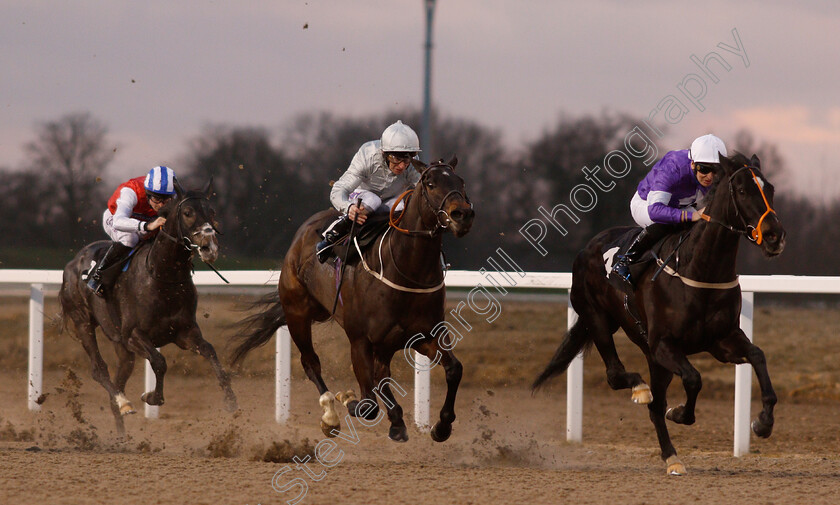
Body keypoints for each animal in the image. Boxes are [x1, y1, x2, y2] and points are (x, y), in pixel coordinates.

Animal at [59, 178, 236, 434]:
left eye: (211, 212)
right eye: (187, 212)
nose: (209, 247)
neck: (162, 276)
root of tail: (72, 264)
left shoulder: (184, 332)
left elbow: (210, 351)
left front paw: (230, 399)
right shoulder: (134, 334)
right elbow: (159, 362)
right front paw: (152, 396)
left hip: (122, 348)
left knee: (117, 383)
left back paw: (122, 436)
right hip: (83, 322)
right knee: (99, 369)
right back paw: (124, 402)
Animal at [233, 158, 476, 440]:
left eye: (461, 182)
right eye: (430, 183)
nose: (462, 214)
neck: (406, 271)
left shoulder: (424, 335)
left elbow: (454, 369)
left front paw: (441, 426)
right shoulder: (360, 340)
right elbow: (368, 404)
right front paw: (351, 401)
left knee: (381, 374)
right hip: (297, 312)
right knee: (311, 362)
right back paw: (330, 414)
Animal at [536, 153, 784, 472]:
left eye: (771, 189)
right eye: (742, 191)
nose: (775, 236)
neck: (698, 268)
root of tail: (588, 246)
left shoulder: (722, 340)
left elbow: (757, 355)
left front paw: (763, 422)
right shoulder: (664, 344)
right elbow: (694, 379)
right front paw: (679, 412)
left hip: (652, 356)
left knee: (654, 405)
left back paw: (671, 456)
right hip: (599, 319)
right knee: (616, 376)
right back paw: (640, 389)